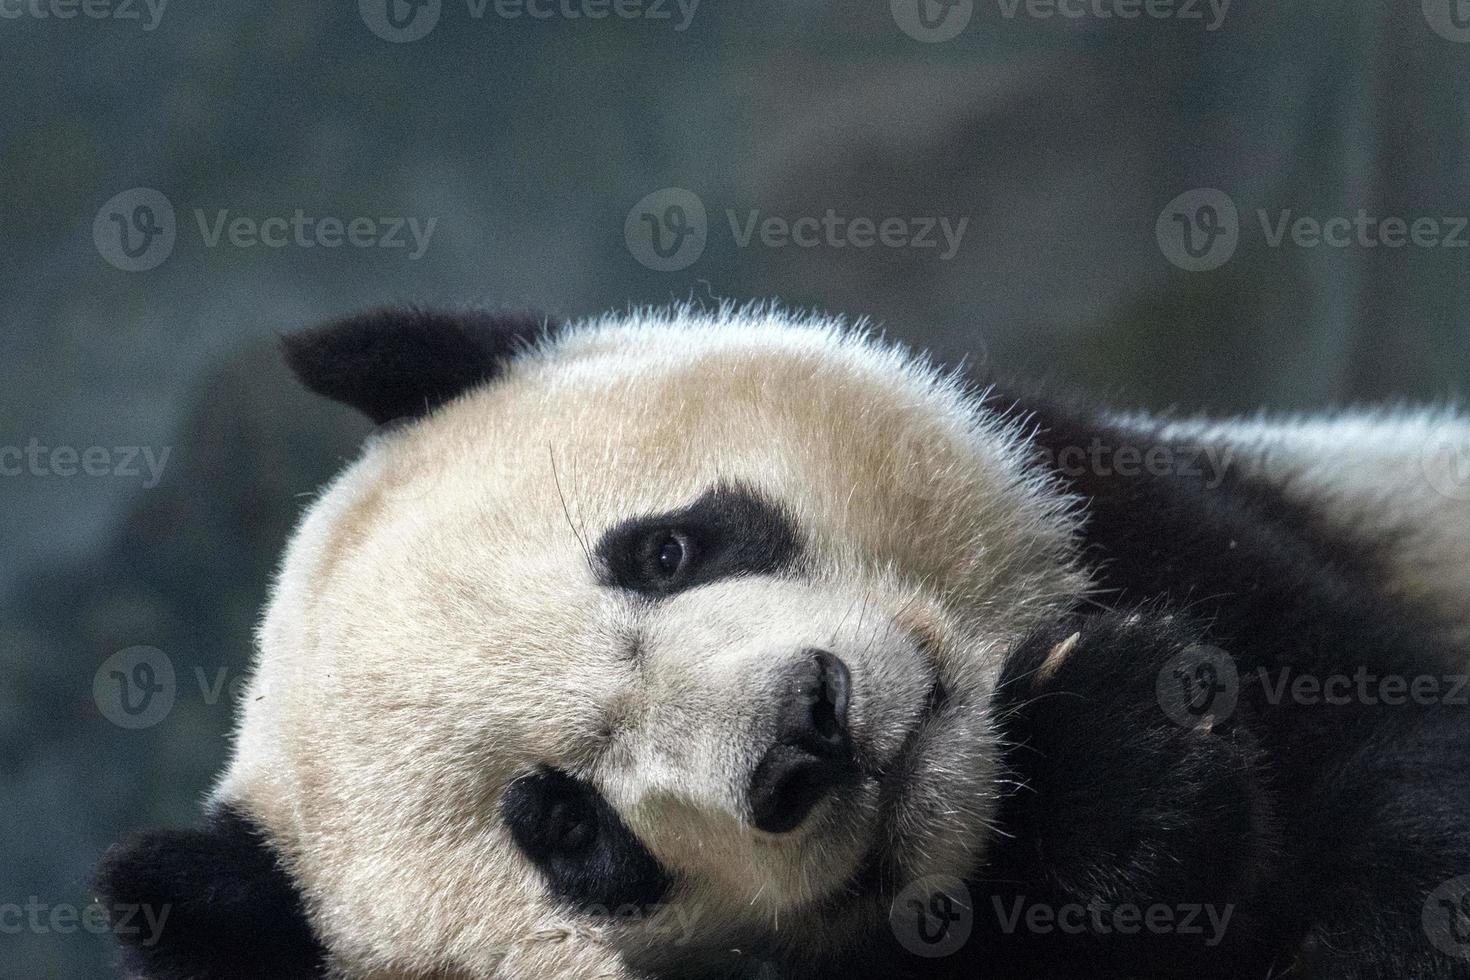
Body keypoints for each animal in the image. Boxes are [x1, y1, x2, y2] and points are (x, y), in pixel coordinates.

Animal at [97, 307, 1470, 980]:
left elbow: (1399, 787)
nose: (809, 729)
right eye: (569, 829)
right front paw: (1119, 781)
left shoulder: (1206, 540)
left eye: (664, 550)